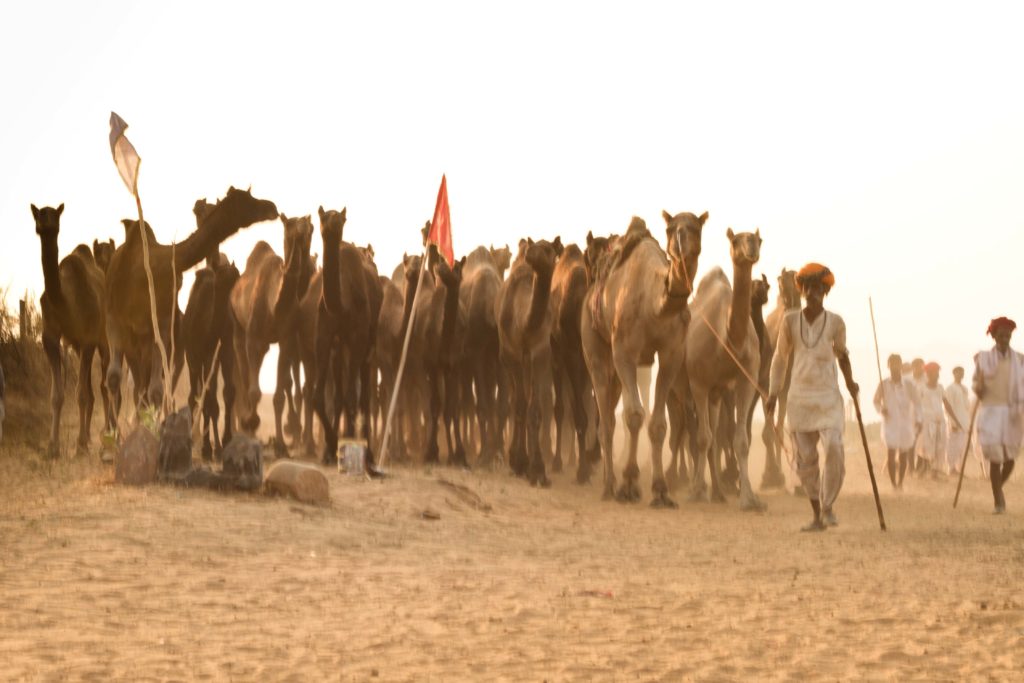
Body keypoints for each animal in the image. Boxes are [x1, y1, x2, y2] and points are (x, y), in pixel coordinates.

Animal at [33, 204, 114, 458]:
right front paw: (53, 446)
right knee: (92, 388)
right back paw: (89, 435)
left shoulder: (89, 338)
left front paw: (79, 445)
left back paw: (109, 433)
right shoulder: (51, 337)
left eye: (55, 215)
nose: (45, 224)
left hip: (103, 339)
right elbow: (58, 395)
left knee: (104, 384)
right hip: (78, 347)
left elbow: (81, 393)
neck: (65, 301)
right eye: (38, 215)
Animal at [105, 188, 278, 421]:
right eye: (245, 200)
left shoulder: (162, 323)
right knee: (136, 386)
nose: (272, 207)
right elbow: (114, 378)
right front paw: (111, 431)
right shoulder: (114, 319)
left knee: (143, 387)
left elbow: (156, 390)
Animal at [229, 210, 311, 450]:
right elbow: (253, 391)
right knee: (243, 376)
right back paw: (246, 425)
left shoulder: (286, 339)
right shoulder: (253, 338)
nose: (303, 226)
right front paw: (250, 424)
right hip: (238, 328)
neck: (275, 304)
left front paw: (281, 444)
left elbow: (278, 396)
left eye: (309, 227)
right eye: (288, 225)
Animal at [493, 237, 561, 483]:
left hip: (527, 363)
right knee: (516, 400)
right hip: (508, 359)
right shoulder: (512, 354)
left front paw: (538, 469)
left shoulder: (540, 352)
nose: (531, 252)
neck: (524, 323)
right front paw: (520, 462)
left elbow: (536, 409)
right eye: (535, 246)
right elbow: (521, 406)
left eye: (549, 248)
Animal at [684, 227, 765, 509]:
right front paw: (696, 491)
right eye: (735, 239)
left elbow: (740, 441)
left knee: (715, 435)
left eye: (758, 239)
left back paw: (718, 491)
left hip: (718, 393)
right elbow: (701, 438)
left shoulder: (746, 379)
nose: (751, 249)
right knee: (698, 435)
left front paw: (749, 498)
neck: (727, 342)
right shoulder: (697, 382)